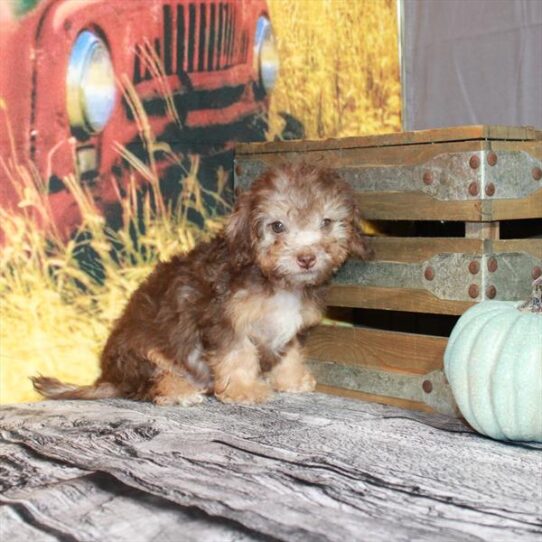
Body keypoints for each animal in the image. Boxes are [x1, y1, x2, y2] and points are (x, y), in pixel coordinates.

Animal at [31, 164, 372, 406]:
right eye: (277, 226)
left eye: (326, 223)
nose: (306, 258)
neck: (275, 281)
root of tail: (110, 377)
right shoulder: (223, 321)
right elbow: (237, 355)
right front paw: (245, 390)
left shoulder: (288, 328)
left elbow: (288, 352)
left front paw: (291, 380)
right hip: (142, 350)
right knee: (150, 382)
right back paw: (179, 389)